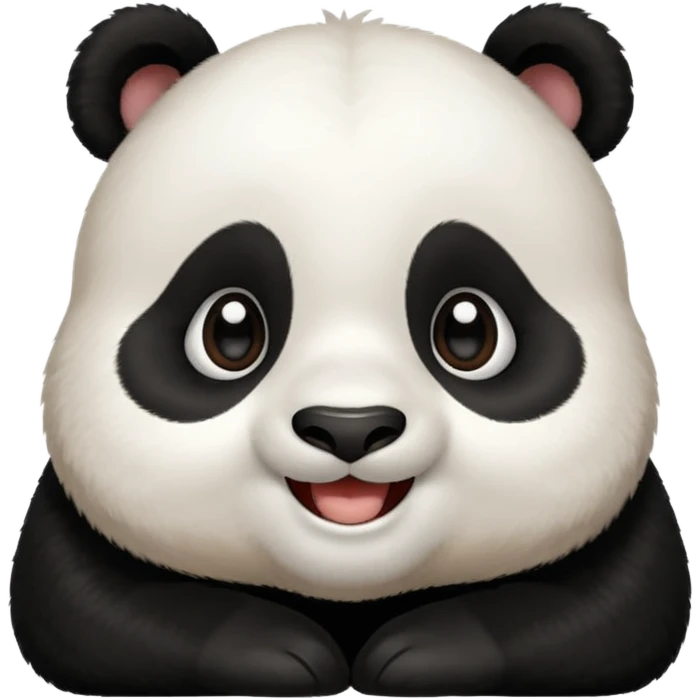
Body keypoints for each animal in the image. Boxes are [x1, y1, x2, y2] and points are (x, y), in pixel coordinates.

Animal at [12, 2, 690, 697]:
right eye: (230, 332)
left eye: (468, 332)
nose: (349, 427)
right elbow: (94, 610)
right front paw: (282, 651)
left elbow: (607, 610)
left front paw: (418, 651)